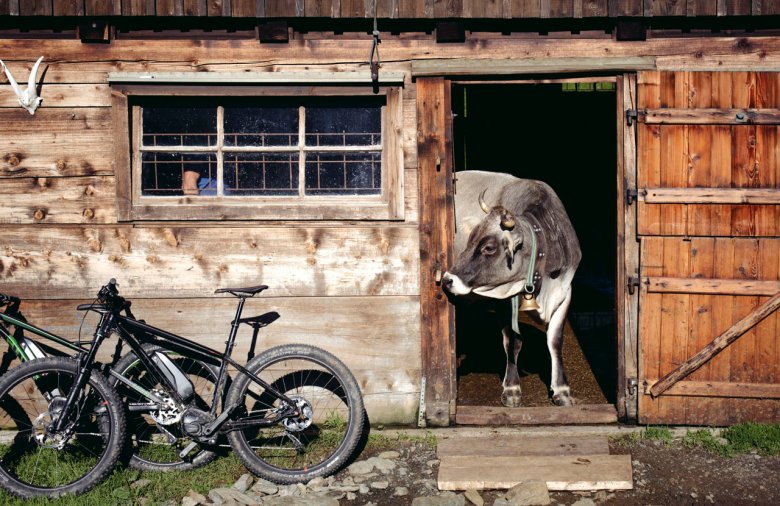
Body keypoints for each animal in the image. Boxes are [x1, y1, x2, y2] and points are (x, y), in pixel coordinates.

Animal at [442, 170, 580, 408]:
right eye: (470, 240)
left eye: (488, 248)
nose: (448, 280)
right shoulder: (504, 299)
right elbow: (513, 341)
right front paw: (512, 389)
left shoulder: (564, 292)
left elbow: (555, 340)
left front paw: (562, 390)